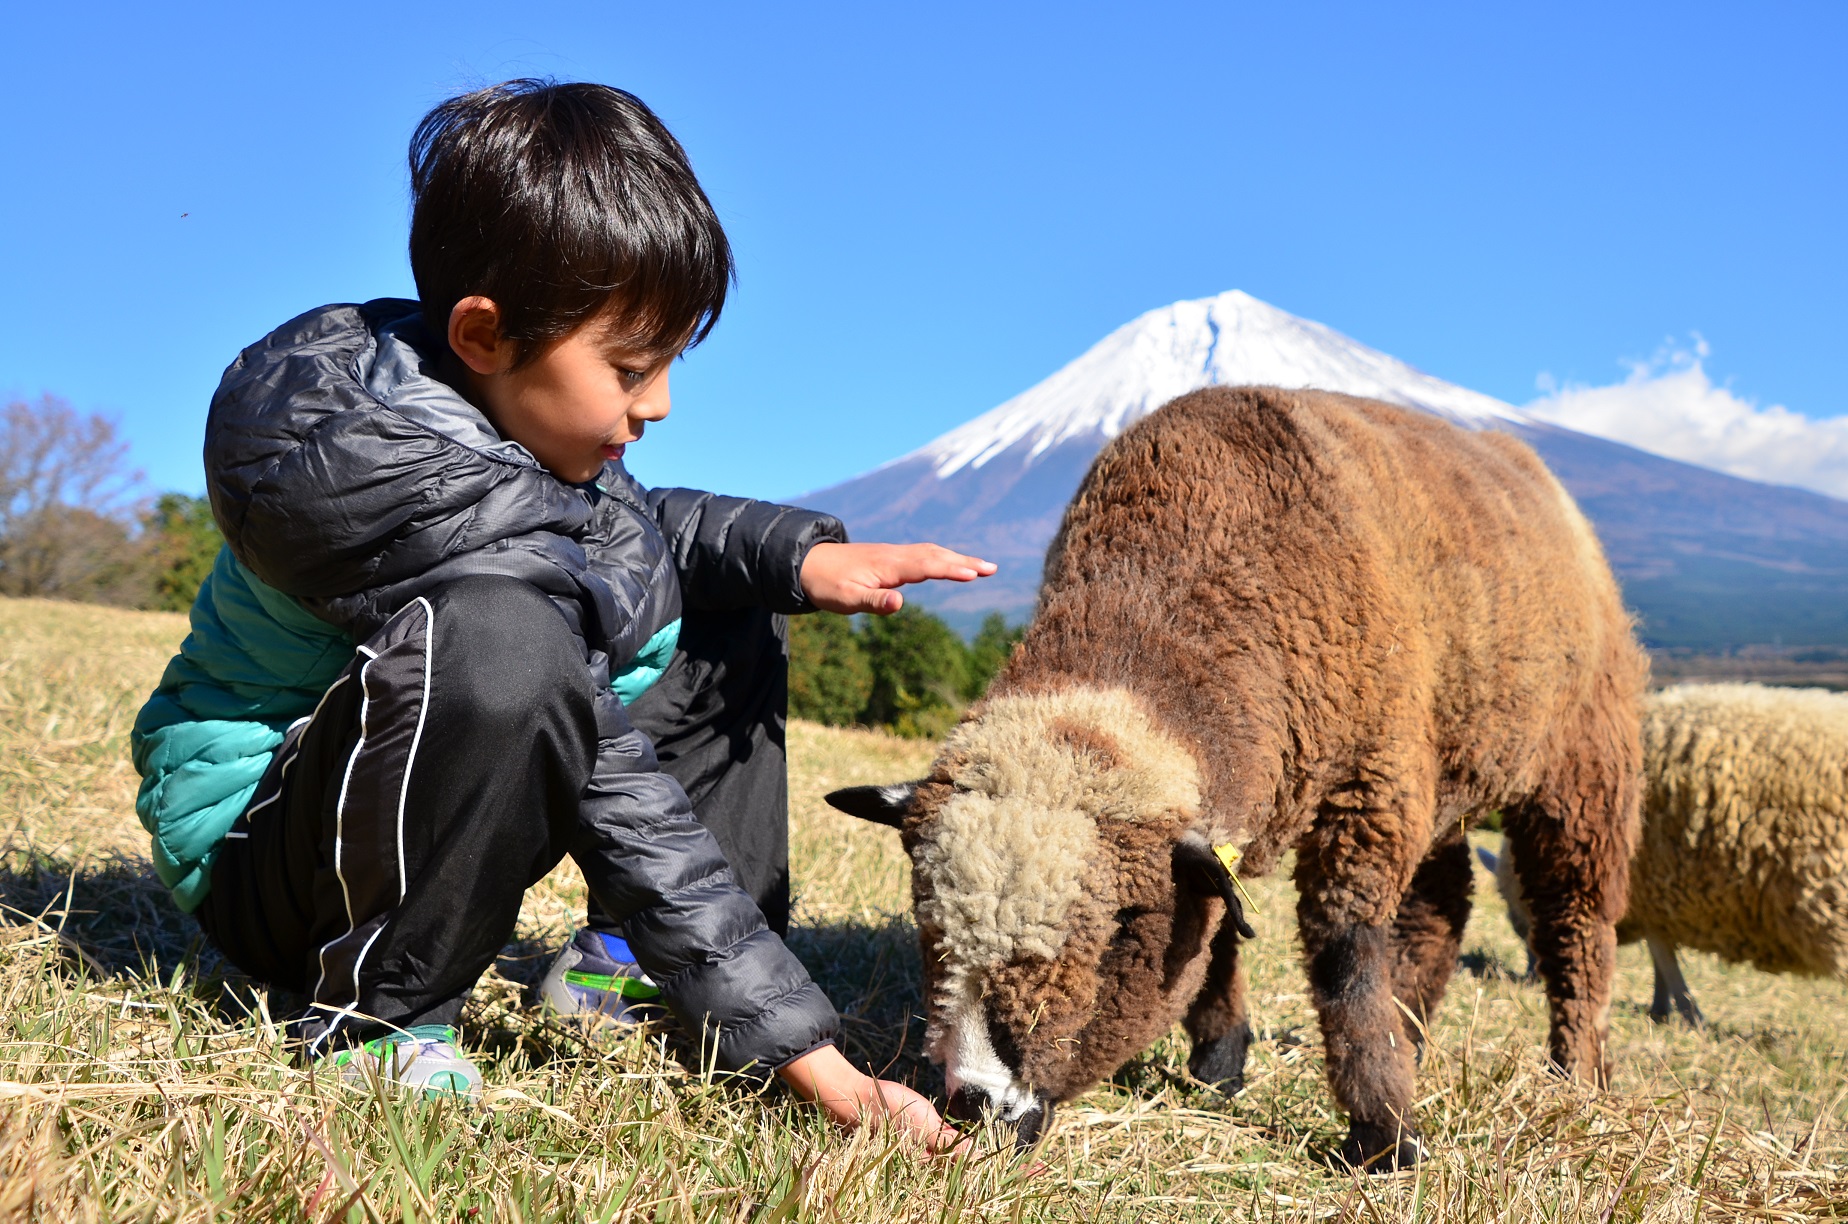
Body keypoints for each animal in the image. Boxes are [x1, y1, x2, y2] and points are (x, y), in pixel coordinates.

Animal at [831, 388, 1641, 1175]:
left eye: (1120, 931)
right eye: (925, 921)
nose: (974, 1106)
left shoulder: (1367, 789)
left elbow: (1346, 958)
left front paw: (1385, 1139)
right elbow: (1218, 929)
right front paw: (1221, 1067)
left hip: (1582, 765)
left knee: (1574, 920)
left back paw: (1575, 1075)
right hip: (1444, 765)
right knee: (1440, 902)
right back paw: (1410, 1031)